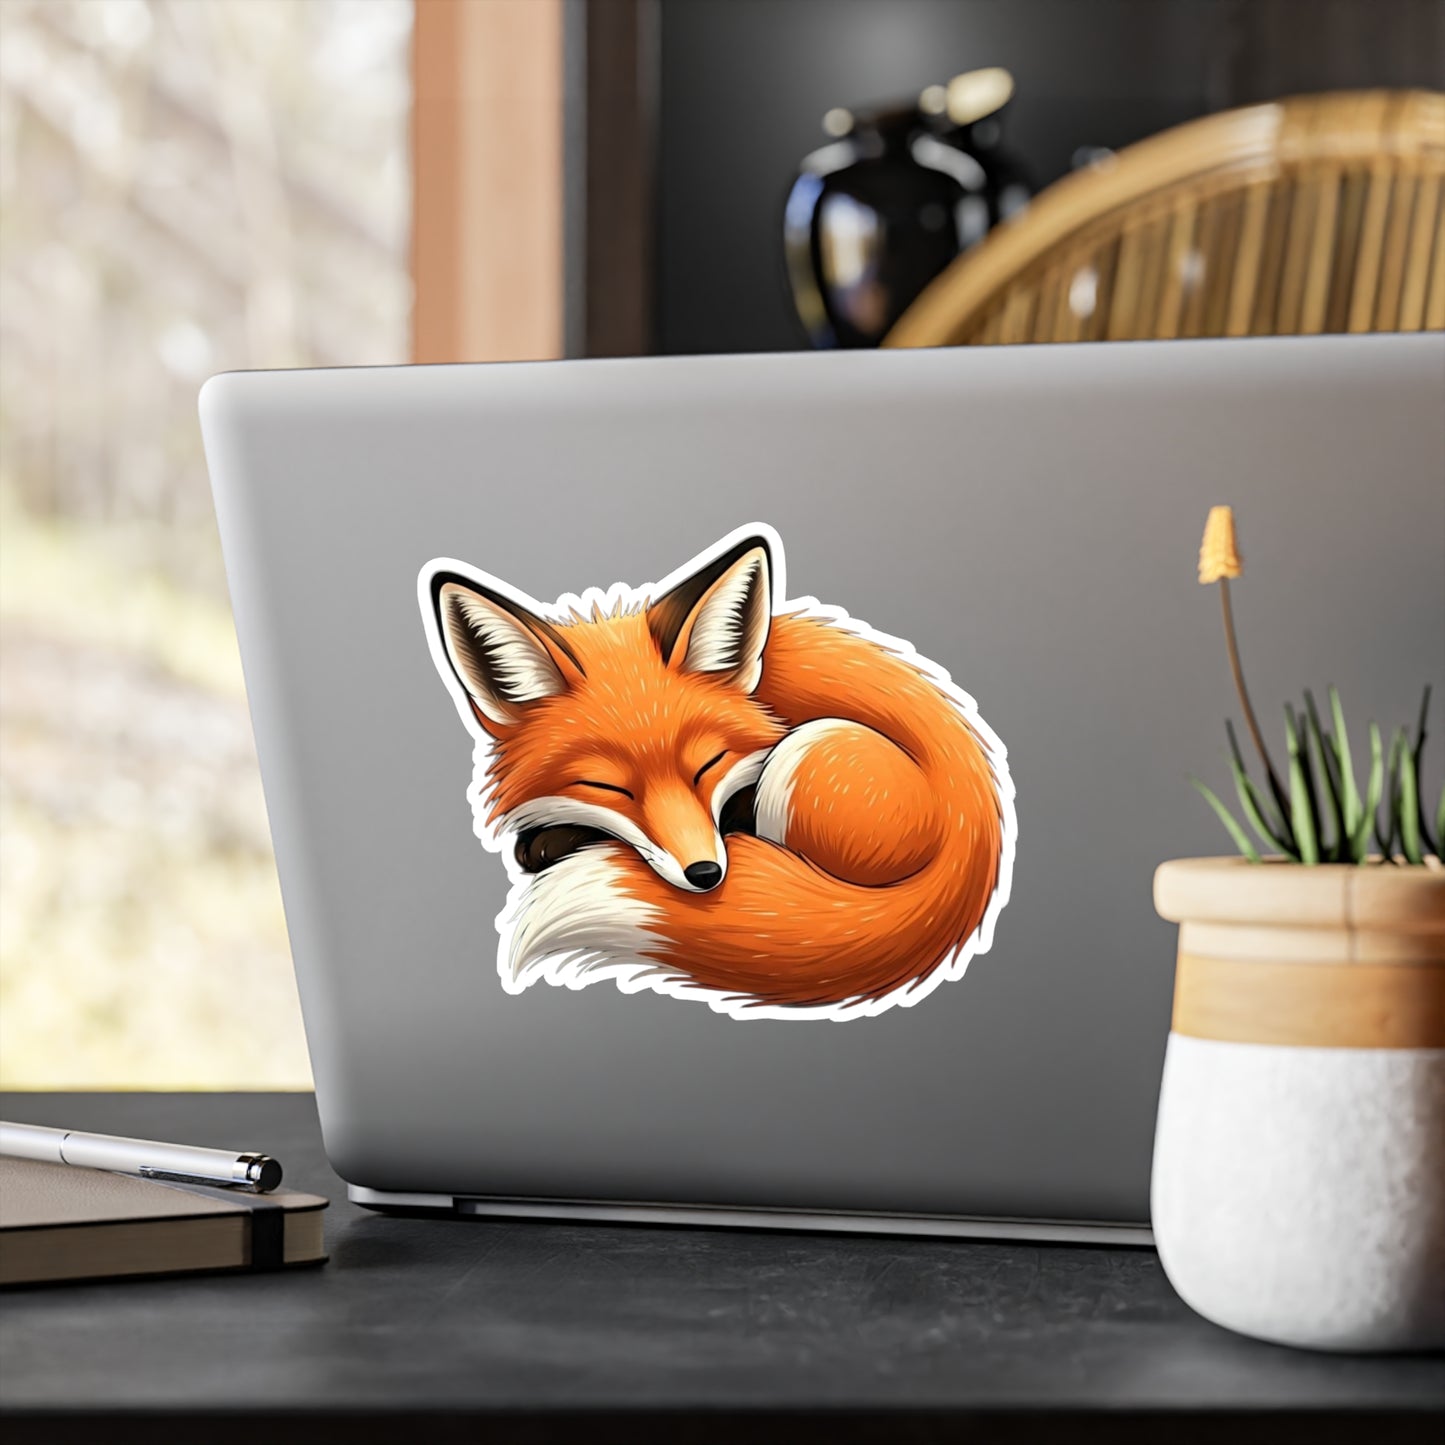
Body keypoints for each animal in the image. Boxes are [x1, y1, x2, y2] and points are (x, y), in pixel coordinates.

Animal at [420, 525, 1015, 1019]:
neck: (762, 689)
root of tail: (975, 831)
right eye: (608, 787)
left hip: (813, 749)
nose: (705, 874)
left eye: (708, 765)